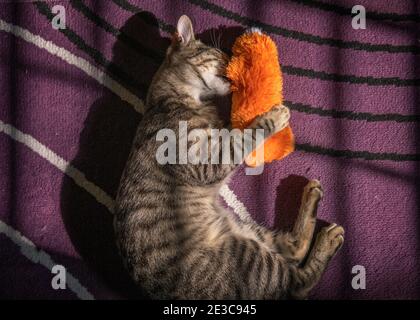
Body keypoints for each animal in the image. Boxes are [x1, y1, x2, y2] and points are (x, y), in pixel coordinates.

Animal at [113, 15, 342, 300]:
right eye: (218, 54)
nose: (233, 61)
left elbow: (237, 133)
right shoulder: (206, 160)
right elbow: (245, 137)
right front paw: (272, 116)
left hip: (246, 231)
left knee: (294, 249)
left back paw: (313, 198)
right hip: (249, 256)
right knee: (298, 282)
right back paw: (328, 239)